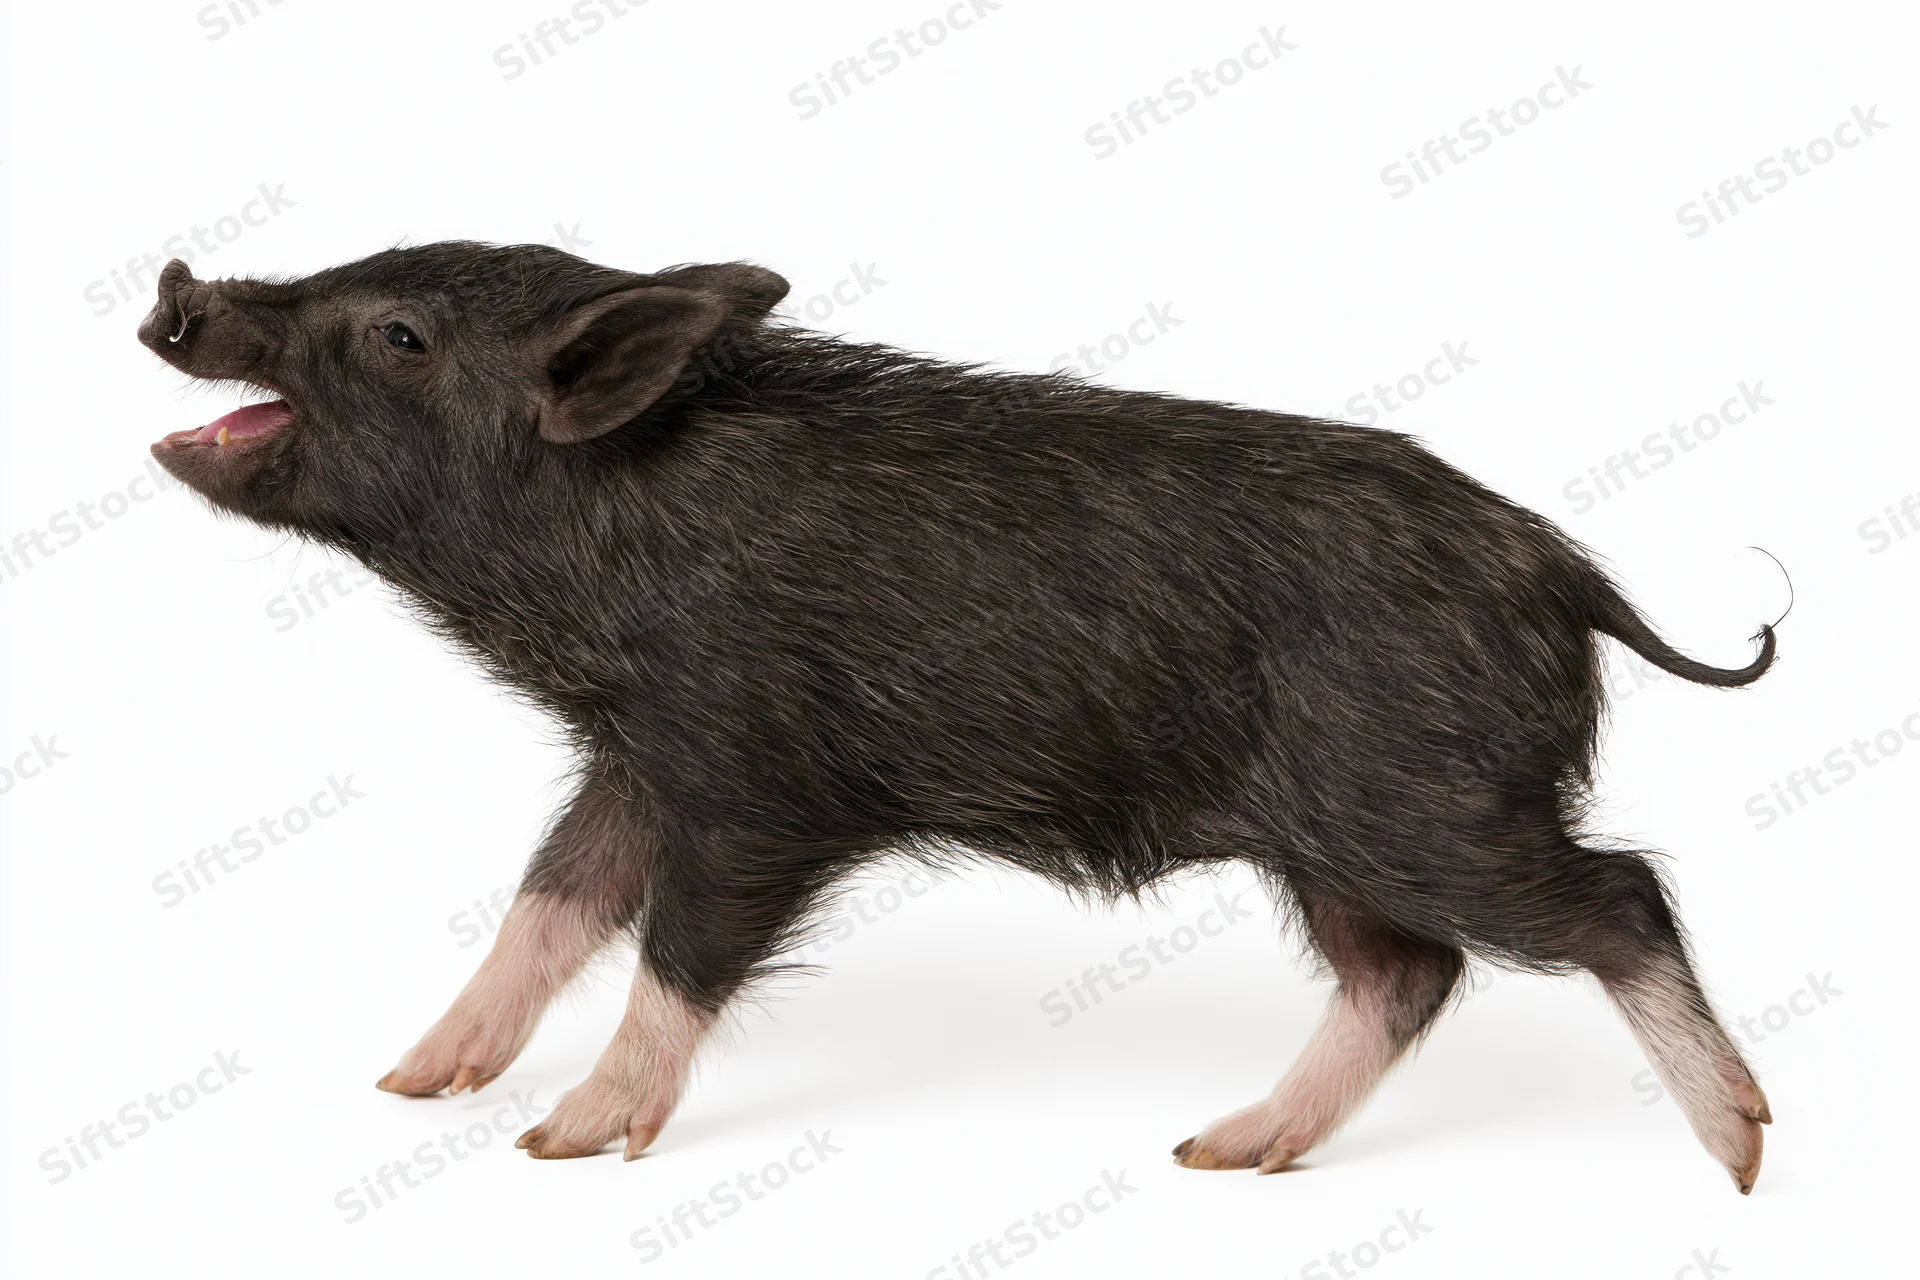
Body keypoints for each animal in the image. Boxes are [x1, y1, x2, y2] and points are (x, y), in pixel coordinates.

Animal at [139, 243, 1777, 1191]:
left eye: (398, 334)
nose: (175, 284)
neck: (599, 546)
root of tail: (1566, 573)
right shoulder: (636, 760)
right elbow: (548, 898)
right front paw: (413, 1080)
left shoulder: (753, 778)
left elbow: (678, 945)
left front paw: (563, 1144)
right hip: (1342, 836)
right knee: (1409, 973)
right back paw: (1219, 1154)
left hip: (1425, 801)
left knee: (1614, 898)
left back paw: (1743, 1158)